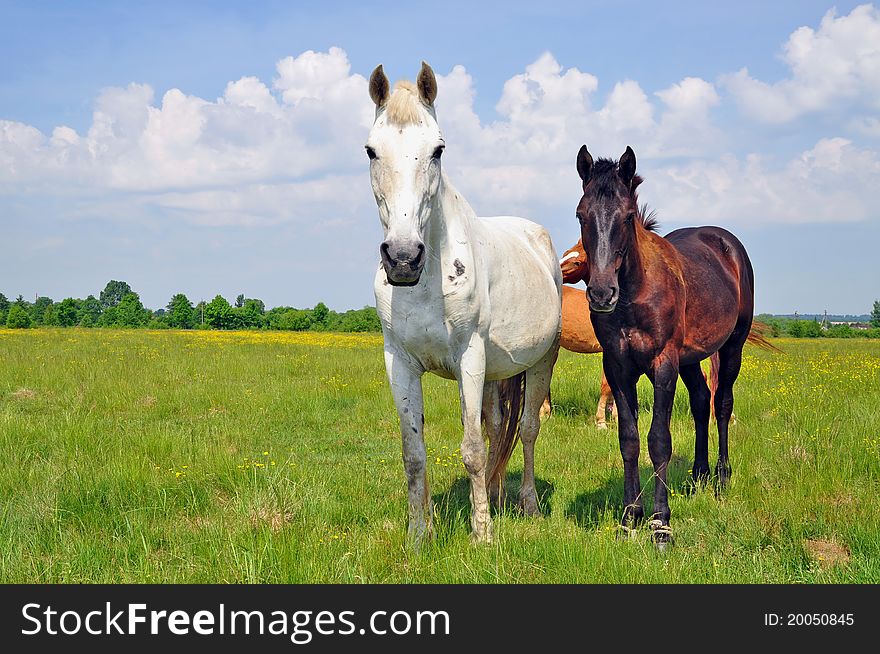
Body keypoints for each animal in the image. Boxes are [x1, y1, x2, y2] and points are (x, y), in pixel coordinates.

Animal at [366, 62, 560, 548]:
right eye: (371, 151)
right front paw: (419, 537)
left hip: (541, 362)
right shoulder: (399, 363)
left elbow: (472, 449)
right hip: (494, 373)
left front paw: (482, 537)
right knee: (497, 428)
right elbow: (414, 454)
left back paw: (527, 504)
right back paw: (496, 495)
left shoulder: (468, 357)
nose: (402, 257)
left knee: (526, 431)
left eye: (437, 150)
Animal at [576, 146, 752, 552]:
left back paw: (721, 478)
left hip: (731, 346)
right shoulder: (618, 367)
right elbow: (628, 440)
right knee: (702, 401)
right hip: (691, 359)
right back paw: (699, 475)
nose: (601, 294)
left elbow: (659, 439)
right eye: (581, 215)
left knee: (721, 403)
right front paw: (630, 518)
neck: (635, 293)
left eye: (627, 217)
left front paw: (661, 525)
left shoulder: (663, 364)